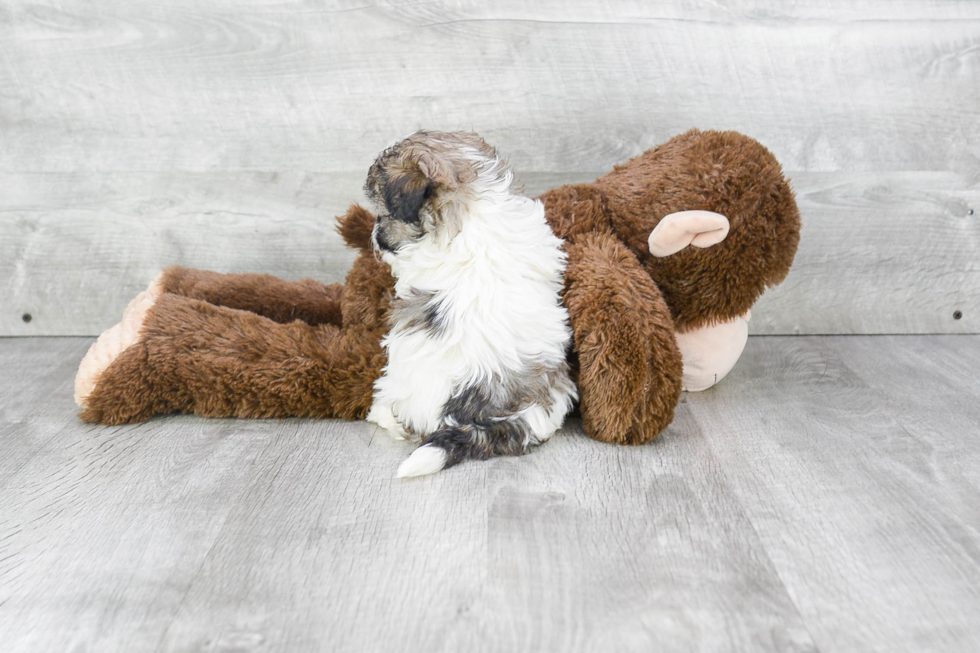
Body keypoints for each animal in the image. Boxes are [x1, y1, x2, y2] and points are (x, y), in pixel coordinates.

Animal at [364, 130, 580, 476]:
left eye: (384, 213)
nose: (374, 233)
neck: (468, 207)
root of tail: (484, 419)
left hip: (398, 380)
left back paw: (383, 415)